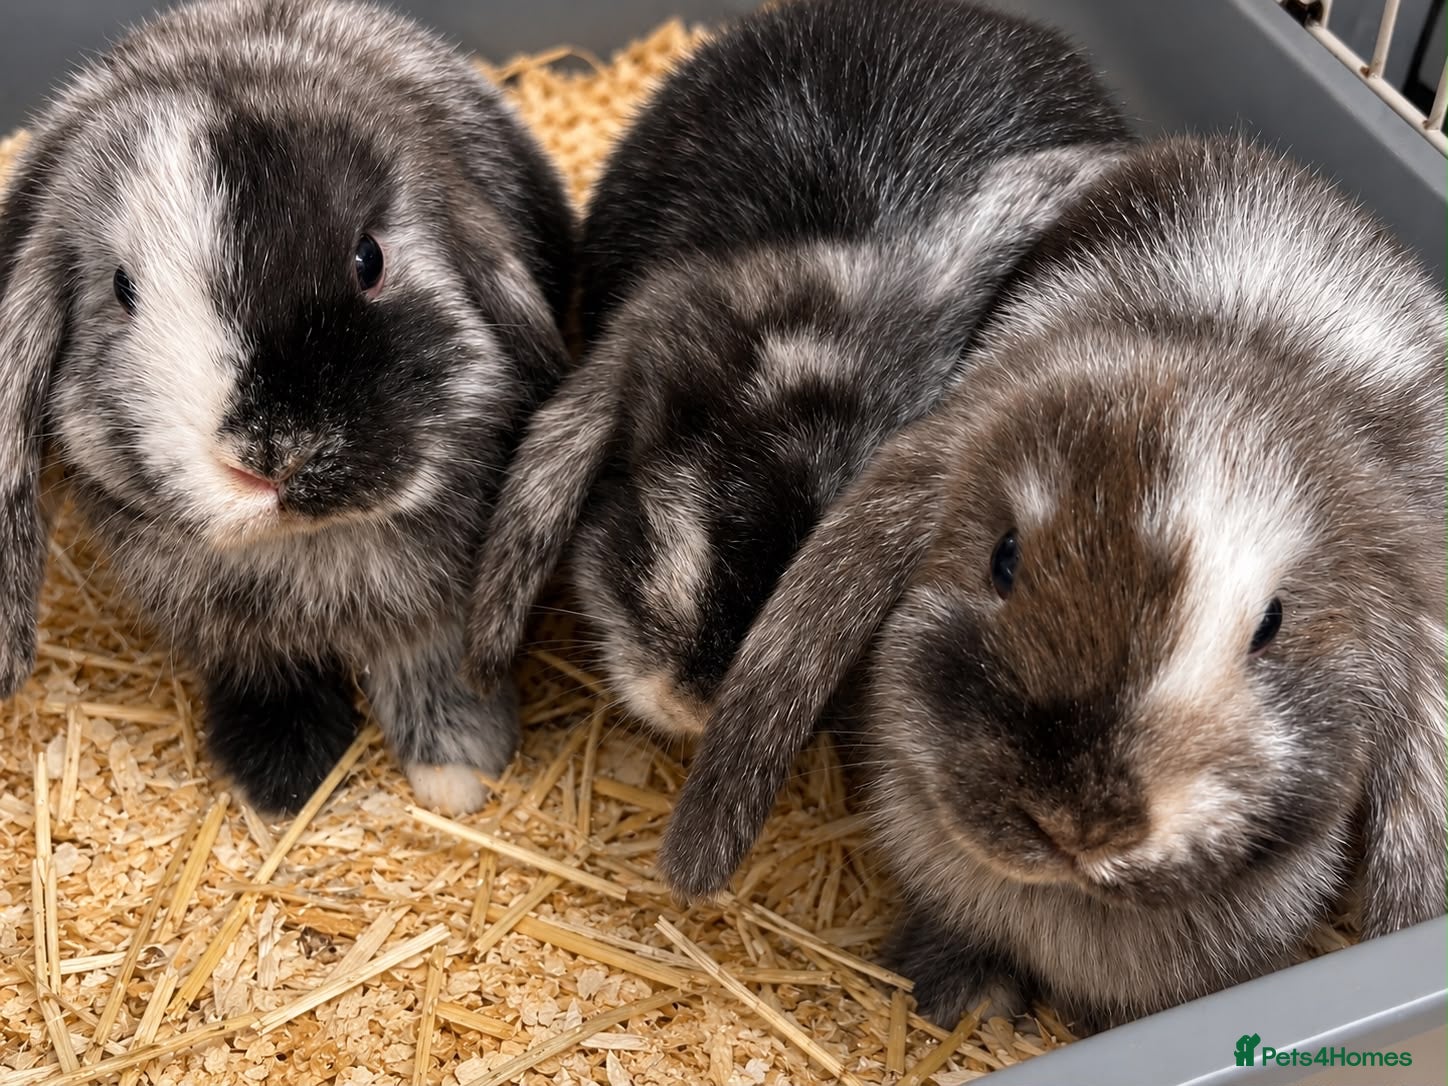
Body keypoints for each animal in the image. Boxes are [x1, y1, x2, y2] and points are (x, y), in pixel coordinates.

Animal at [0, 0, 575, 816]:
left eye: (369, 259)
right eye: (121, 289)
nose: (273, 455)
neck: (308, 551)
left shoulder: (439, 610)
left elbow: (431, 669)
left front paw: (460, 774)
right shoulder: (230, 635)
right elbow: (267, 674)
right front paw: (284, 779)